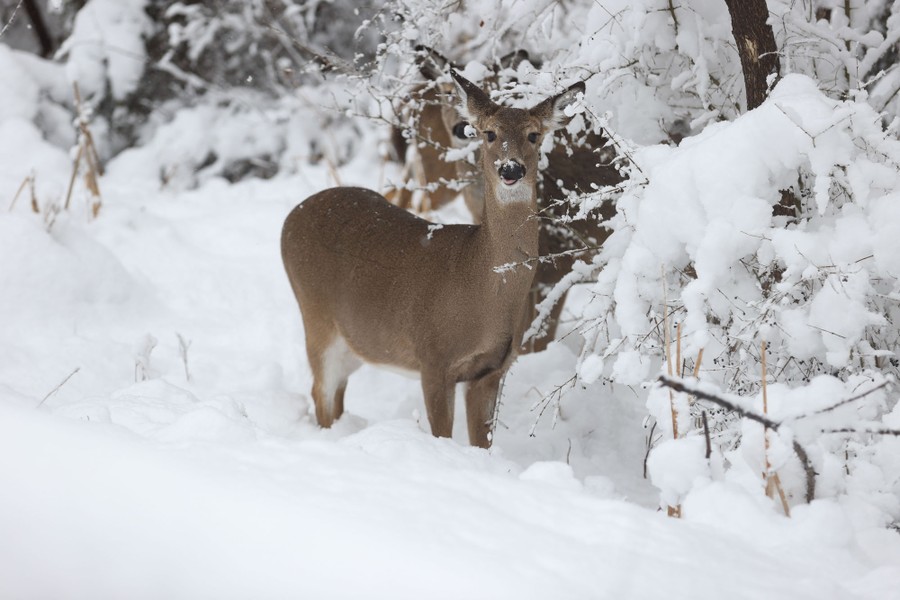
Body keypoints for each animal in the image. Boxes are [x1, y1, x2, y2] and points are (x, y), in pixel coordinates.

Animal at [281, 69, 585, 448]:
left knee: (335, 397)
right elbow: (442, 434)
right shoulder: (433, 359)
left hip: (354, 340)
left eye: (533, 134)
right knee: (320, 393)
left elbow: (481, 443)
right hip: (316, 317)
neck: (480, 286)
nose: (511, 169)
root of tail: (290, 218)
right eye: (490, 133)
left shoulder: (491, 371)